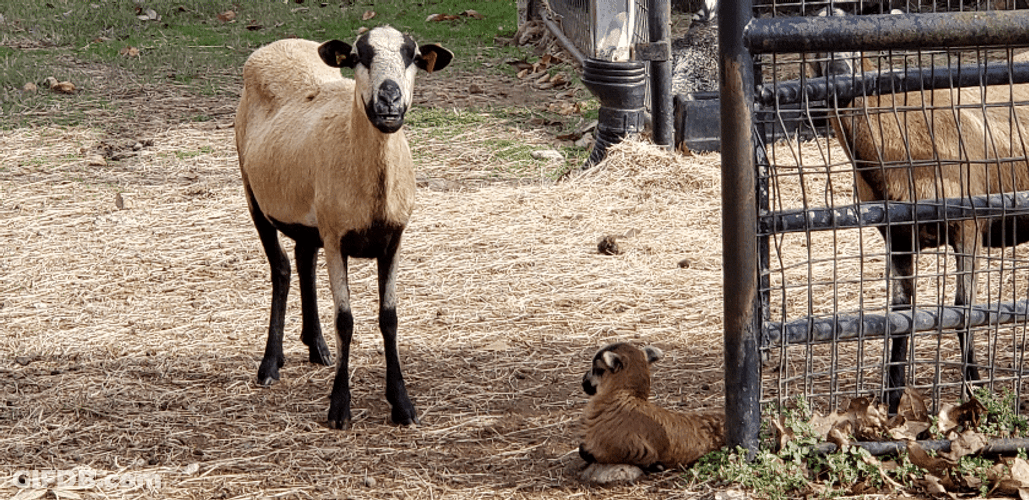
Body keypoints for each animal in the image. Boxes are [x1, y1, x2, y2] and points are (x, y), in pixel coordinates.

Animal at [234, 26, 453, 429]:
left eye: (412, 57)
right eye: (357, 57)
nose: (389, 97)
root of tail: (279, 44)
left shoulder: (393, 239)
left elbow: (389, 318)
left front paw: (402, 404)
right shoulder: (336, 239)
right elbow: (346, 321)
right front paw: (339, 408)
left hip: (308, 215)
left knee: (303, 259)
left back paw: (317, 347)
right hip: (252, 190)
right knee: (281, 268)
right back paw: (270, 364)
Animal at [814, 8, 1029, 411]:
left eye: (857, 47)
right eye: (814, 54)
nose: (840, 81)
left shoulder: (969, 223)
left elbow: (963, 309)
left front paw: (975, 394)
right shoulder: (896, 235)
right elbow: (900, 314)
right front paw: (891, 401)